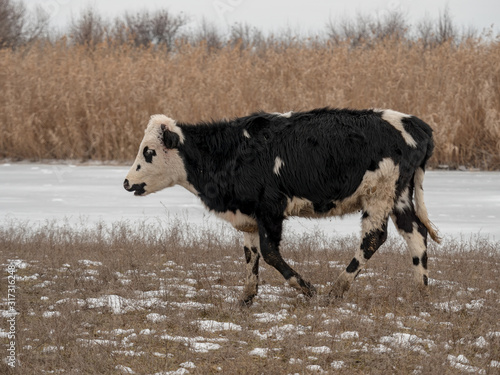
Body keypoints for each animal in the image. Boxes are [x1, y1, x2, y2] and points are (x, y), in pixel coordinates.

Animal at [125, 107, 442, 306]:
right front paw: (246, 298)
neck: (230, 152)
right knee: (416, 235)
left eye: (149, 151)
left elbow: (269, 254)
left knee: (373, 238)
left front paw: (307, 289)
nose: (127, 182)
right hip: (399, 197)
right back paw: (420, 291)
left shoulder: (270, 210)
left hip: (379, 194)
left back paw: (335, 290)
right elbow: (250, 255)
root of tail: (417, 125)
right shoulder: (250, 214)